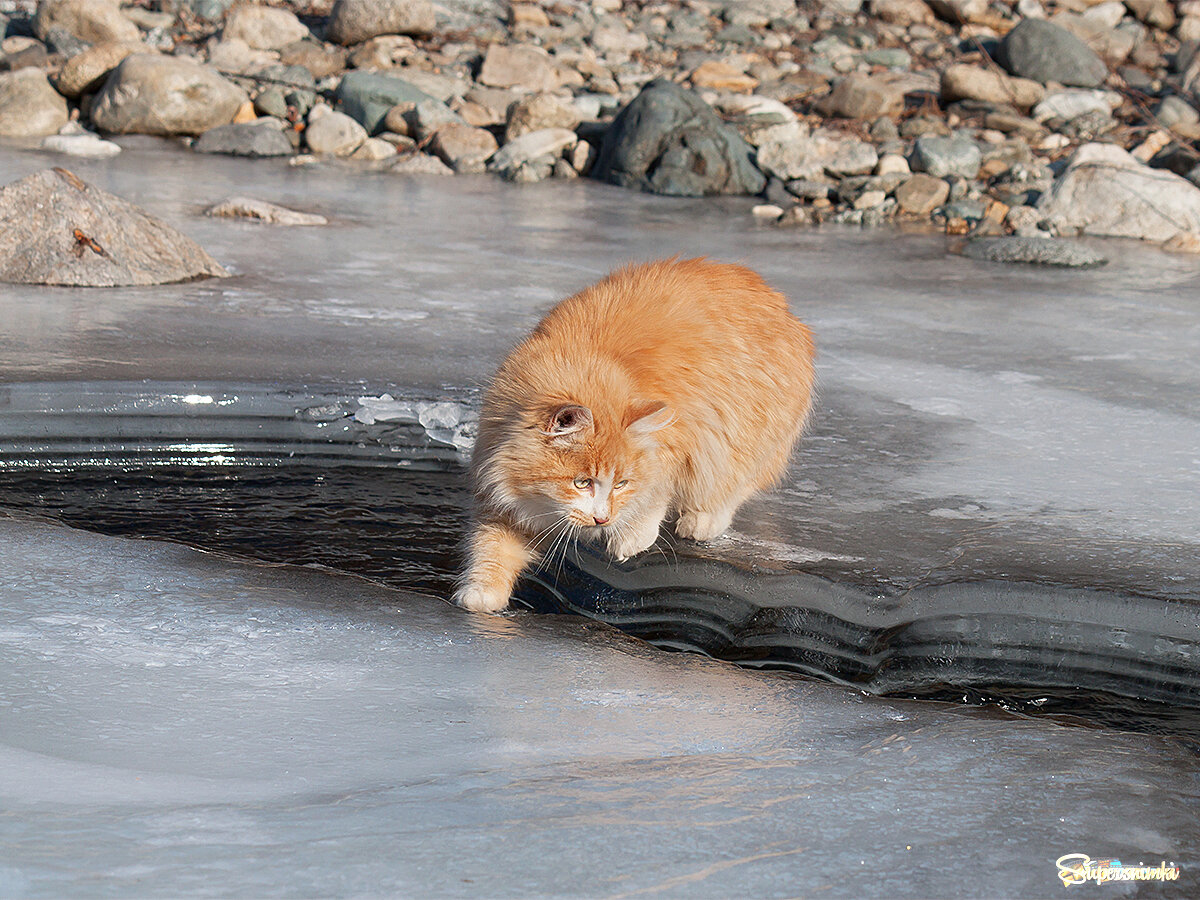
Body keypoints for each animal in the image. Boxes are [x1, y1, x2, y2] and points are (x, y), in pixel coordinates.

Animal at [451, 256, 816, 619]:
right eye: (582, 483)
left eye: (621, 484)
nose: (602, 518)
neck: (587, 366)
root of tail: (777, 299)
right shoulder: (501, 492)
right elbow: (492, 548)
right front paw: (482, 595)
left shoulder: (680, 443)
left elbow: (654, 495)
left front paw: (631, 536)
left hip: (743, 435)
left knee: (733, 486)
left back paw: (701, 521)